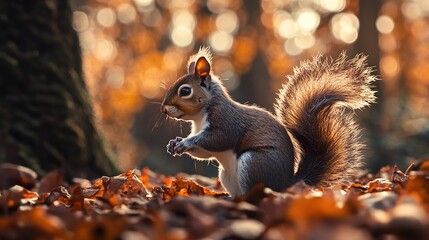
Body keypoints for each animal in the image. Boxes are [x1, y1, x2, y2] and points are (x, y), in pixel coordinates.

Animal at [160, 47, 374, 197]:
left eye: (185, 91)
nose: (163, 109)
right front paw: (174, 143)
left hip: (253, 163)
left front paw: (185, 142)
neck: (200, 116)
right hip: (226, 174)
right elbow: (203, 153)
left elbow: (218, 139)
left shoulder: (226, 121)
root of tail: (285, 185)